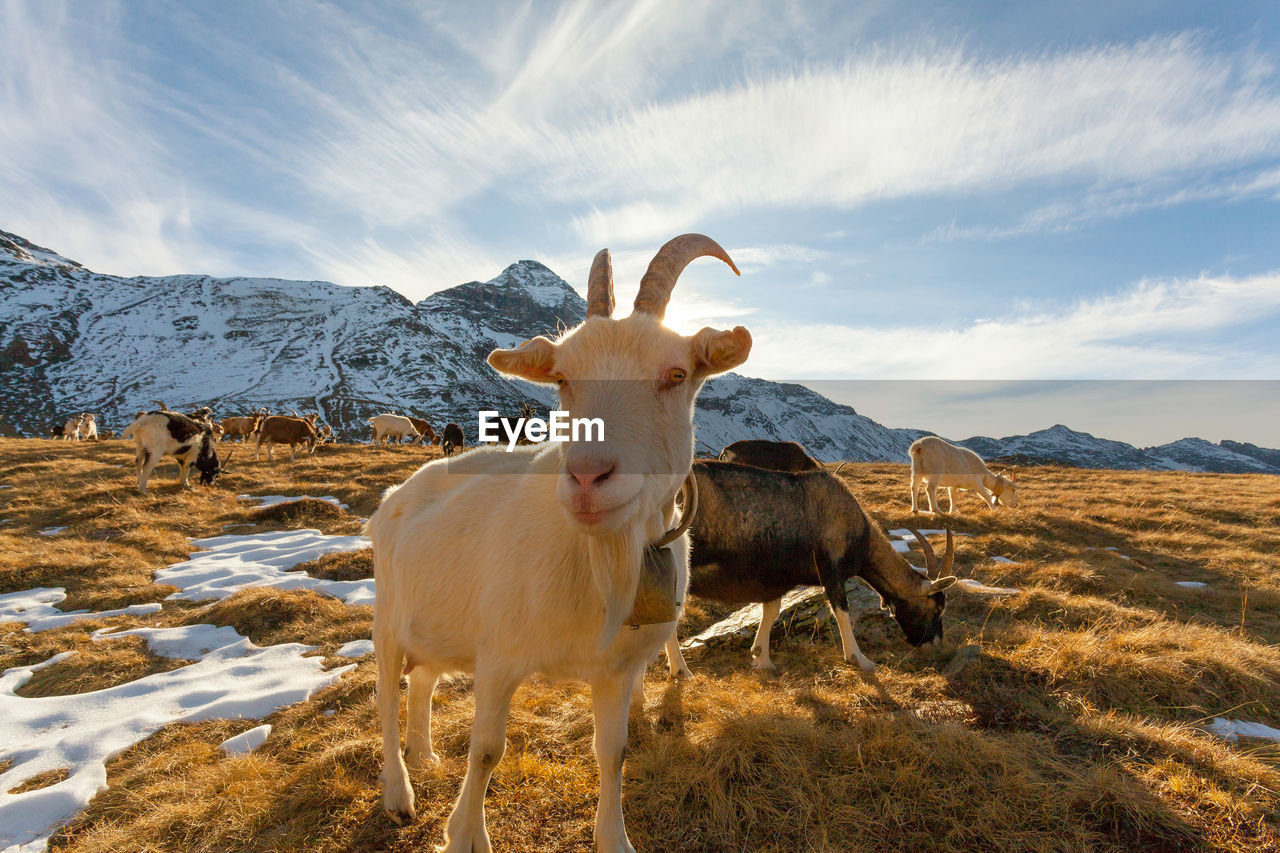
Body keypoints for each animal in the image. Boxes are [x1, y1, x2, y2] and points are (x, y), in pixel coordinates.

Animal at [368, 234, 747, 850]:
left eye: (675, 374)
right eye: (564, 379)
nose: (589, 477)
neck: (600, 561)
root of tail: (396, 495)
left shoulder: (618, 670)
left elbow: (613, 752)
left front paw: (614, 838)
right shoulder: (499, 654)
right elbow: (486, 751)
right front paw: (465, 834)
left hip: (441, 623)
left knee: (422, 681)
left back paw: (423, 756)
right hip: (388, 619)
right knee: (385, 693)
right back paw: (399, 793)